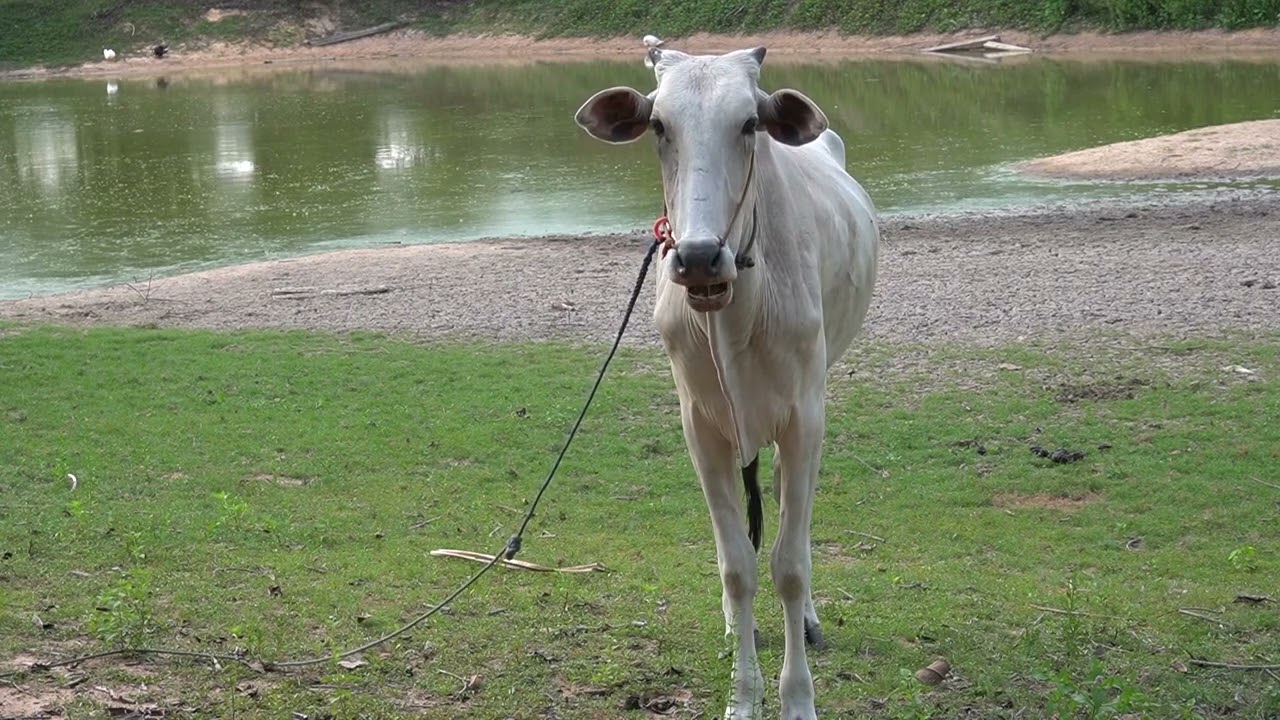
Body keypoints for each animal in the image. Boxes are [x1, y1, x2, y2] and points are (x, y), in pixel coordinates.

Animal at [575, 42, 879, 719]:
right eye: (659, 127)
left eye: (748, 124)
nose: (696, 257)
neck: (737, 306)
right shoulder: (701, 427)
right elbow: (737, 565)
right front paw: (744, 696)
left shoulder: (805, 419)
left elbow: (789, 564)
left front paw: (797, 700)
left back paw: (809, 620)